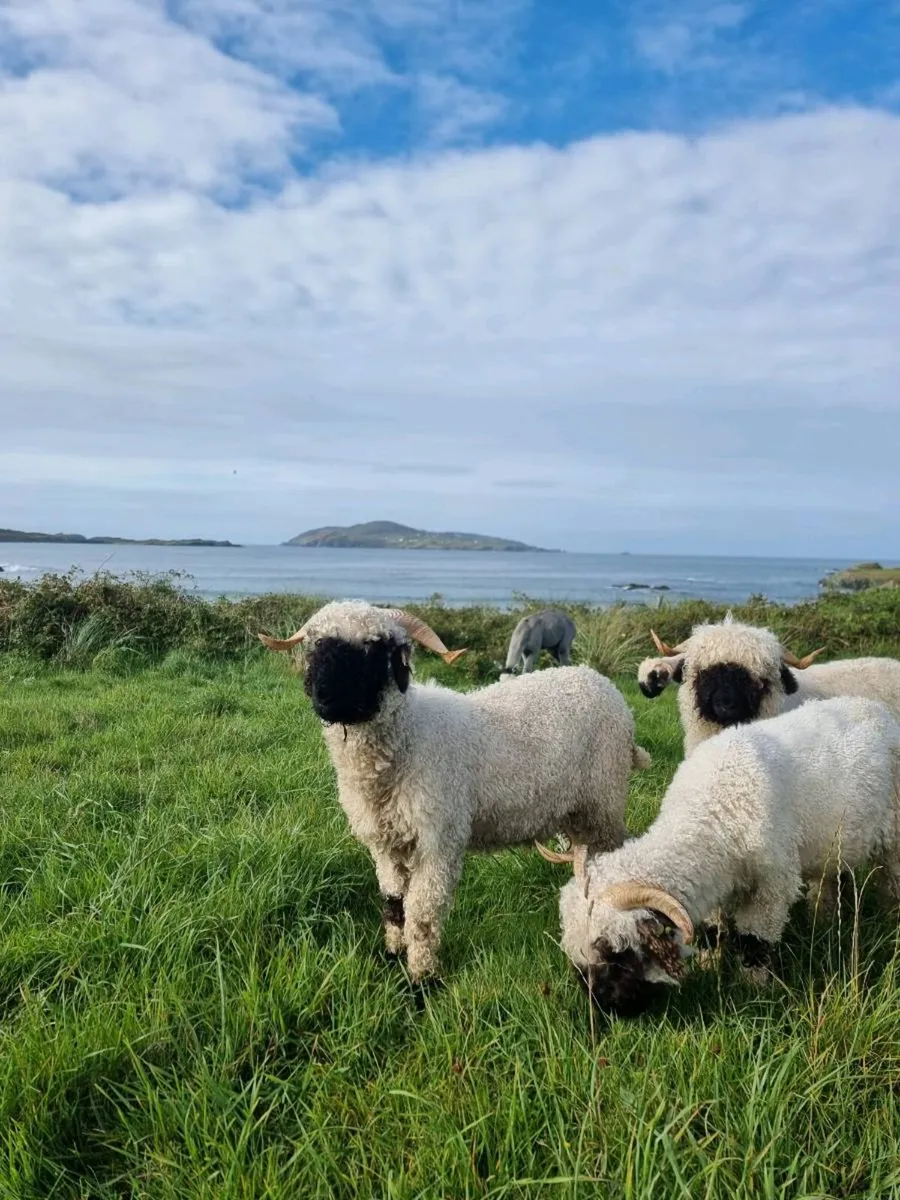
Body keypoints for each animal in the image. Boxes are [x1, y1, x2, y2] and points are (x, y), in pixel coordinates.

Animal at [258, 600, 650, 982]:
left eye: (375, 647)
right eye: (315, 645)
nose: (325, 698)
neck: (410, 738)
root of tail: (600, 682)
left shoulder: (438, 841)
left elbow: (421, 914)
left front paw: (421, 978)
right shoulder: (384, 844)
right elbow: (393, 904)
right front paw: (392, 955)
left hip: (604, 801)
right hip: (575, 809)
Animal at [545, 695, 900, 1016]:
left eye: (616, 951)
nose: (608, 1009)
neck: (713, 810)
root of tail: (877, 709)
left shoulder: (772, 886)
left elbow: (754, 942)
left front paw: (752, 989)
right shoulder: (714, 881)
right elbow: (713, 933)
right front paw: (709, 964)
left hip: (893, 837)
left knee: (890, 882)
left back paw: (888, 919)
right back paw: (823, 921)